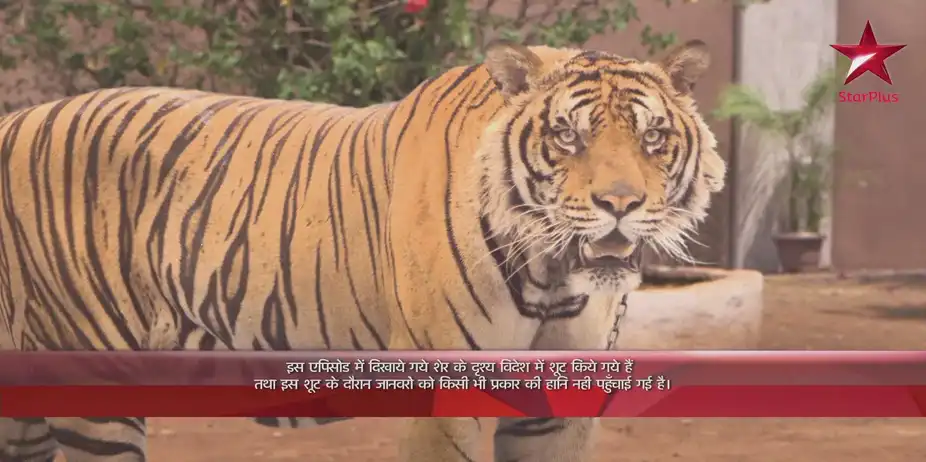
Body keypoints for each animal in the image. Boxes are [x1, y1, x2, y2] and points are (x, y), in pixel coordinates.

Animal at [0, 38, 725, 462]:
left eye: (653, 137)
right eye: (567, 136)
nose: (620, 205)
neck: (553, 272)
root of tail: (17, 118)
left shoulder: (559, 411)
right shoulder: (446, 396)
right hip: (94, 379)